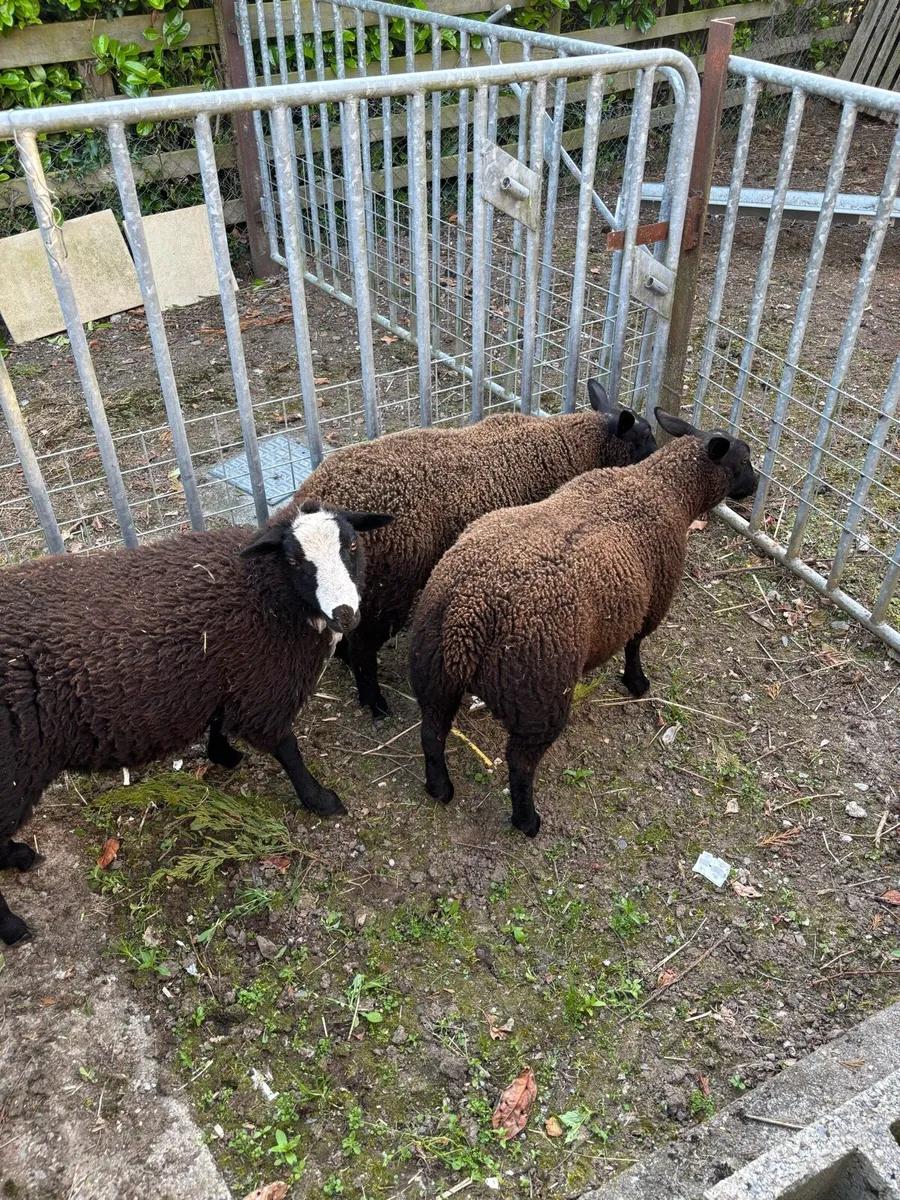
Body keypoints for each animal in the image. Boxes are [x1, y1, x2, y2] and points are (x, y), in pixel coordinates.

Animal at [0, 499, 392, 946]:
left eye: (353, 545)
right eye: (294, 560)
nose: (346, 615)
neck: (262, 590)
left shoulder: (229, 676)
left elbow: (220, 720)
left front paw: (223, 755)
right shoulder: (264, 686)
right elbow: (287, 750)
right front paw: (320, 799)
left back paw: (18, 855)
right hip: (14, 768)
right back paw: (12, 926)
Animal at [298, 380, 657, 720]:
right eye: (644, 436)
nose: (659, 454)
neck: (572, 445)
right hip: (388, 589)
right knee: (363, 646)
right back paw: (375, 703)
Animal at [408, 408, 758, 837]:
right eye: (744, 459)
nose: (753, 487)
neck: (663, 487)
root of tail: (467, 617)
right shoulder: (653, 600)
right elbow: (635, 644)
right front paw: (637, 683)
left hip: (432, 671)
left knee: (431, 732)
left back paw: (440, 788)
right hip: (539, 694)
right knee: (520, 764)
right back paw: (527, 821)